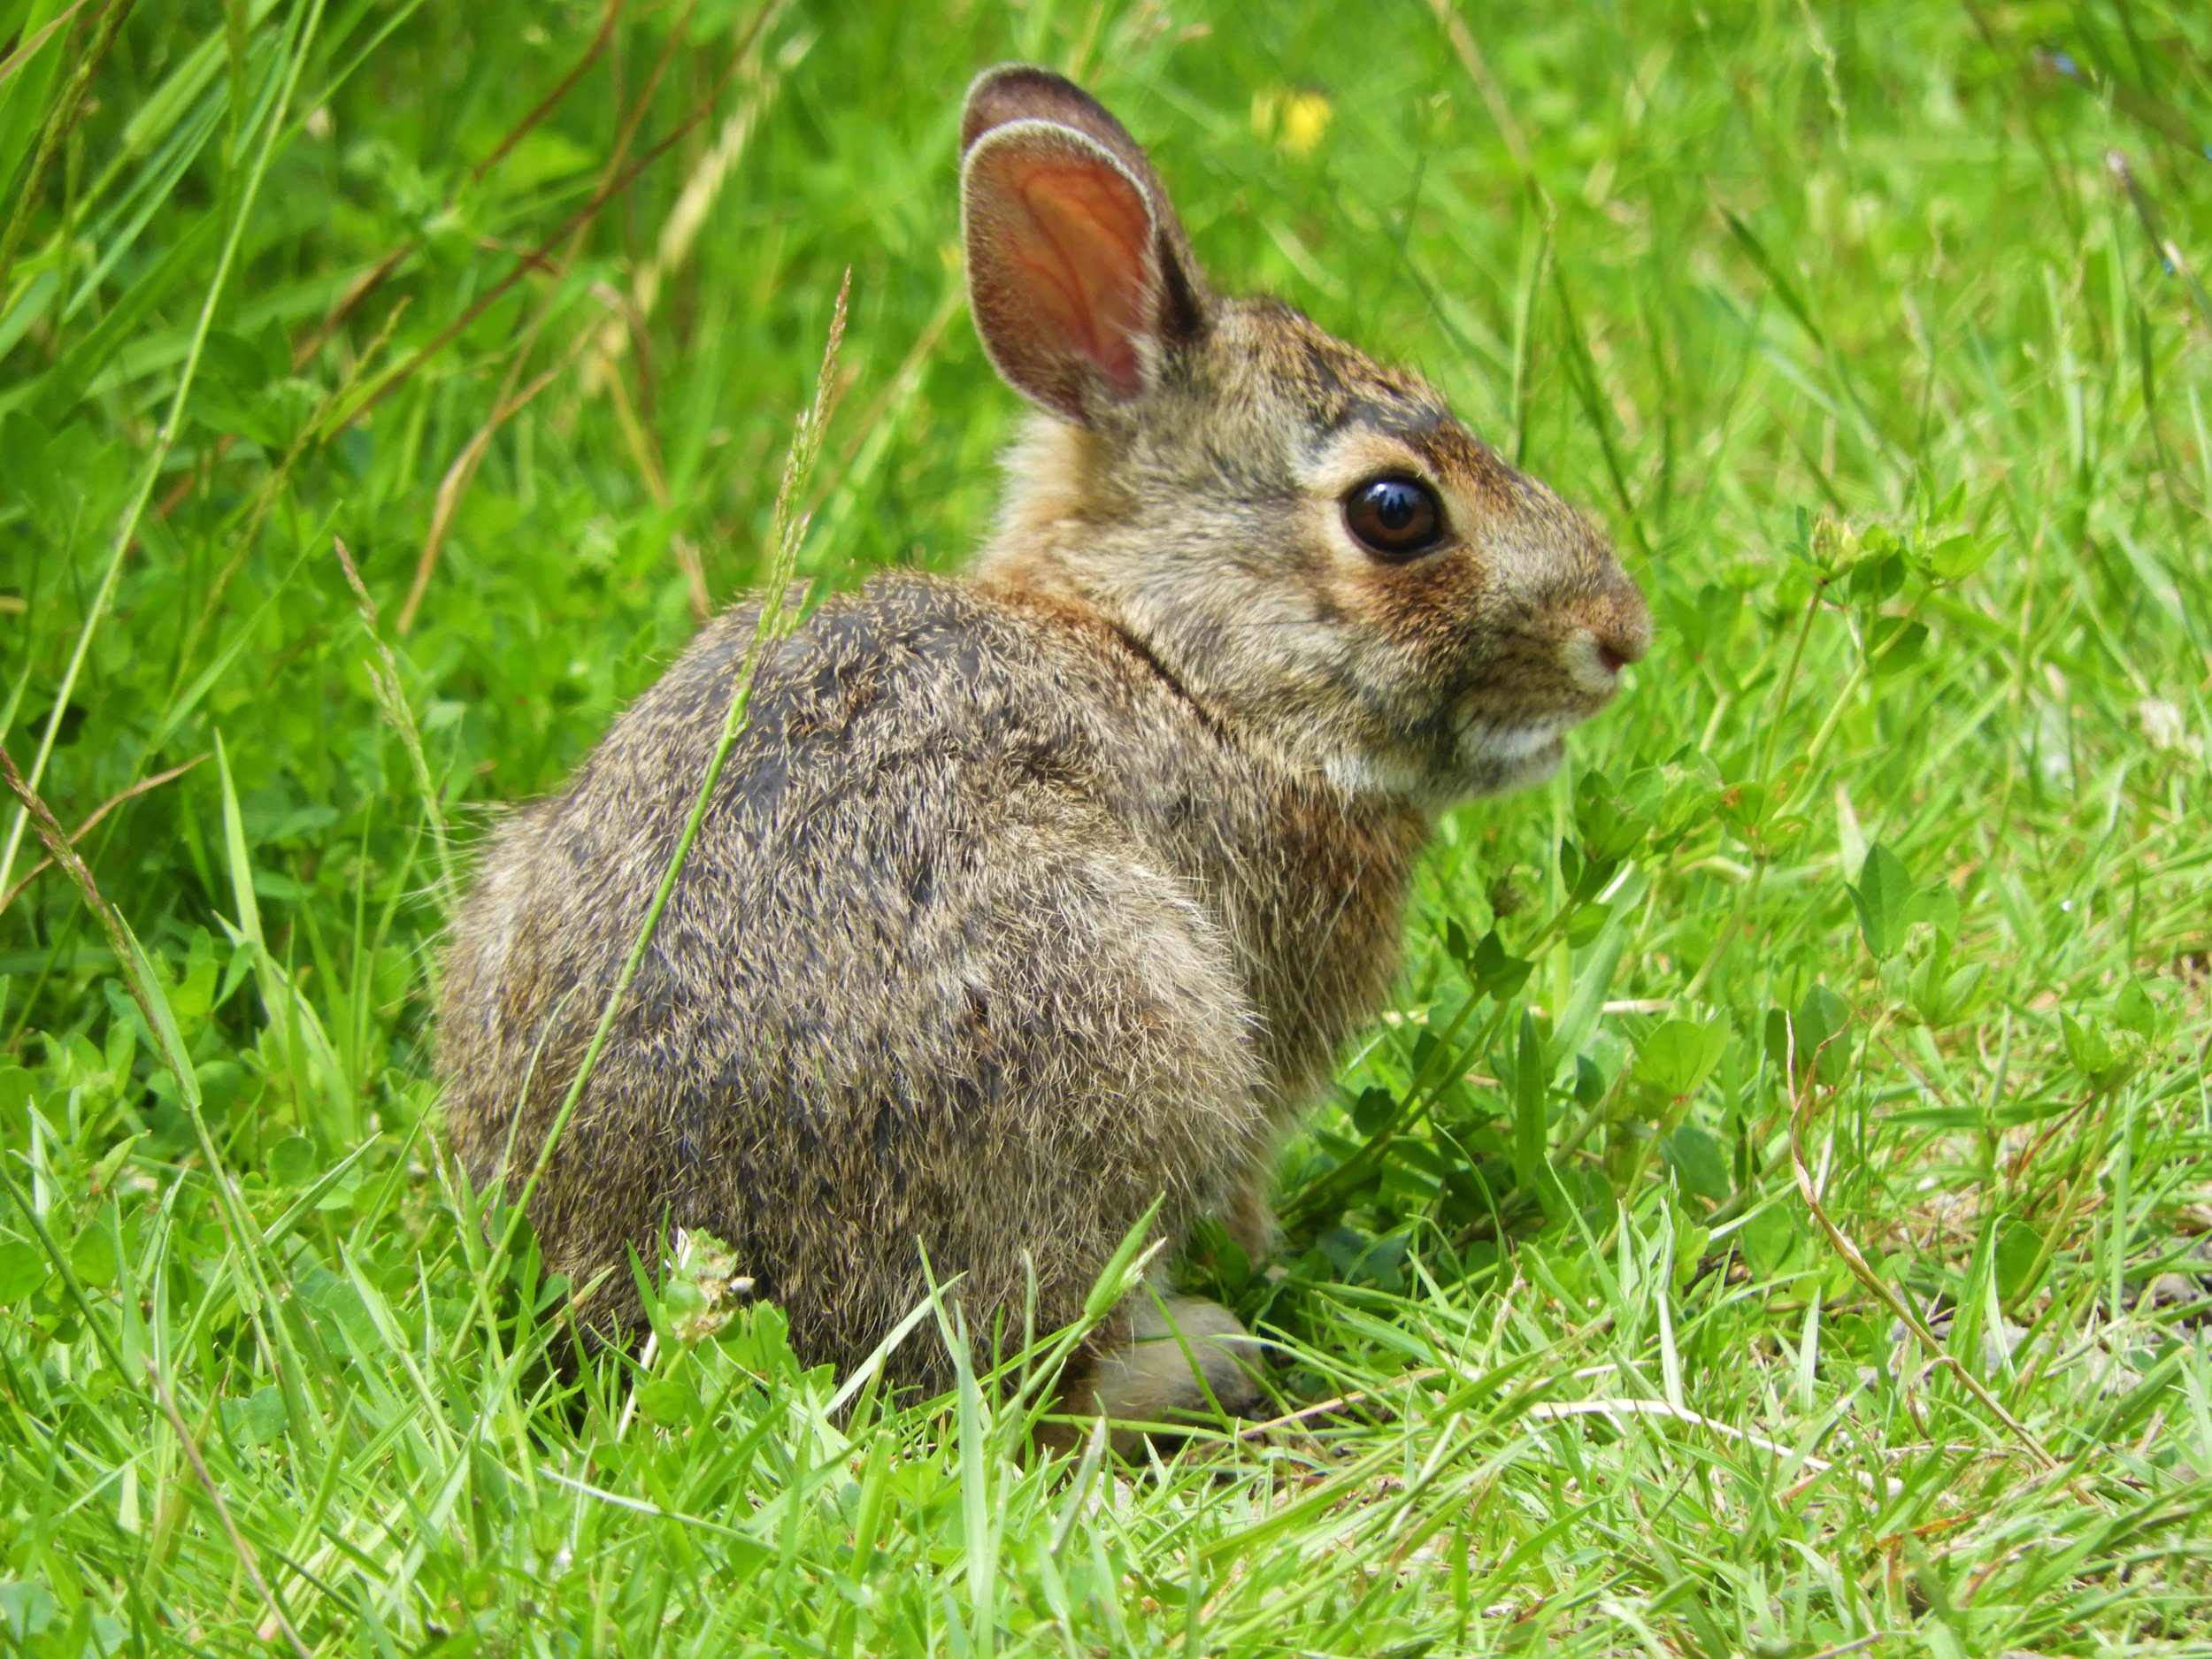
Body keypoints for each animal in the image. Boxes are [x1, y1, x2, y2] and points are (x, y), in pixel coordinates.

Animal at [437, 63, 1650, 1440]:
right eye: (1395, 512)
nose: (1619, 634)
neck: (1179, 661)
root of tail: (662, 1270)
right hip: (1121, 1022)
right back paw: (1201, 1355)